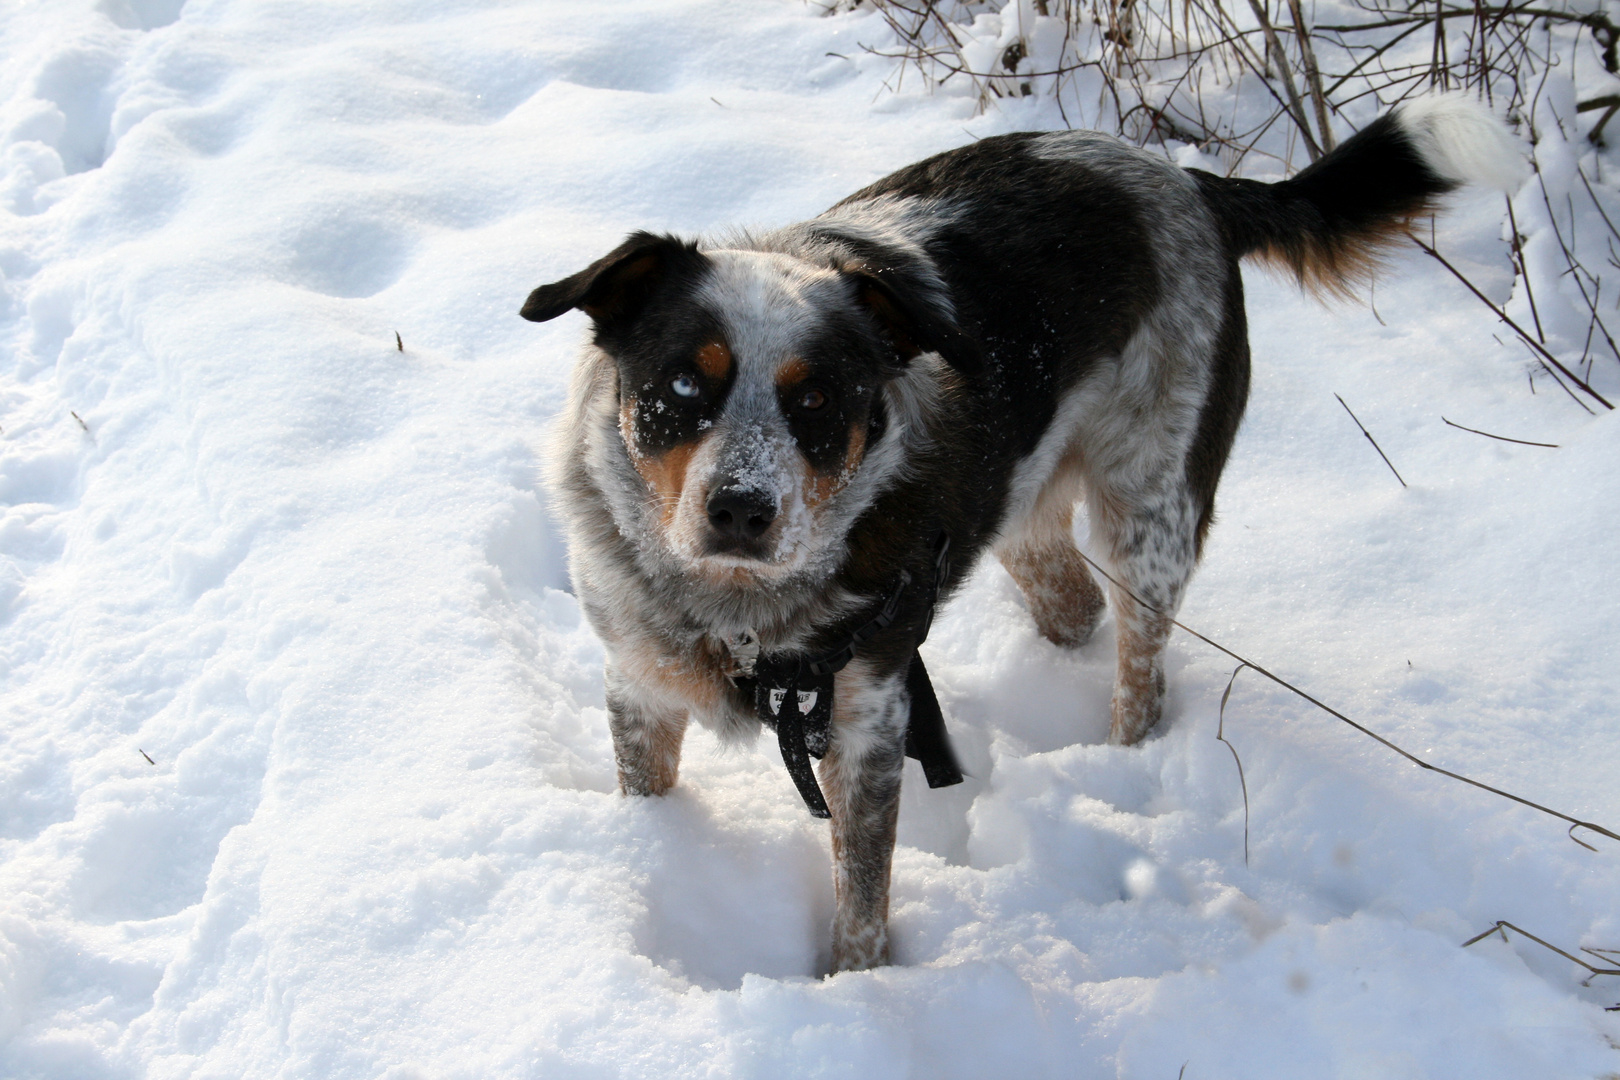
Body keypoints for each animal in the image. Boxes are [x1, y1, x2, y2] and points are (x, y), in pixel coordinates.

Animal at [524, 97, 1522, 977]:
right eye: (682, 384)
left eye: (818, 400)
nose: (741, 509)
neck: (733, 615)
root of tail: (1191, 182)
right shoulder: (638, 682)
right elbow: (648, 787)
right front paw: (651, 854)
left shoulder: (868, 720)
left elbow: (861, 902)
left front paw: (859, 996)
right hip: (1020, 506)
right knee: (1072, 604)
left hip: (1149, 512)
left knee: (1139, 669)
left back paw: (1124, 765)